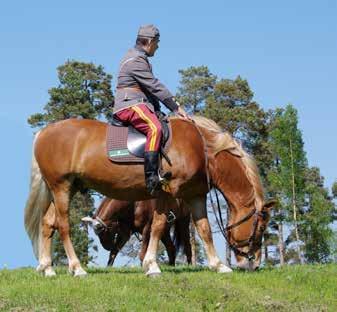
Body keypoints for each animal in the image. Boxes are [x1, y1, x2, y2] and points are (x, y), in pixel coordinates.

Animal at [25, 116, 272, 276]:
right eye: (260, 228)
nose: (254, 264)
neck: (203, 149)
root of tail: (43, 133)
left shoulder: (196, 195)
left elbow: (204, 229)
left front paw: (218, 265)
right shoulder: (167, 192)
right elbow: (158, 226)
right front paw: (151, 265)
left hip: (61, 189)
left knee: (47, 224)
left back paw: (47, 268)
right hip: (61, 187)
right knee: (63, 225)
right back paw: (76, 268)